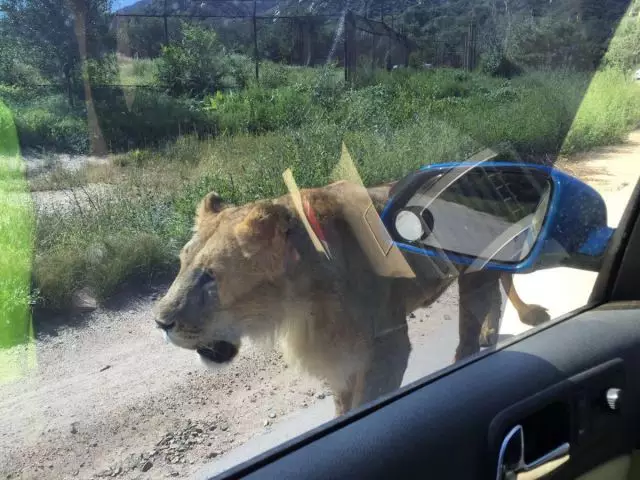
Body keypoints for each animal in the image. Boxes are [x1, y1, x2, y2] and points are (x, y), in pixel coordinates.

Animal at [156, 180, 552, 416]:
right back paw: (491, 333)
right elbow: (343, 406)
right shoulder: (338, 357)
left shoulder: (388, 348)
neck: (300, 306)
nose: (160, 322)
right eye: (181, 263)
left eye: (211, 276)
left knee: (479, 310)